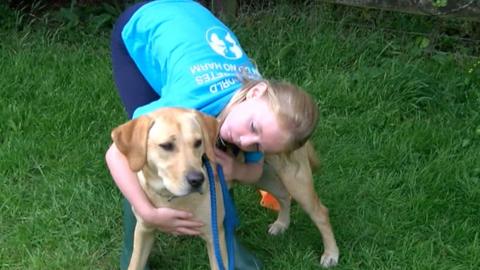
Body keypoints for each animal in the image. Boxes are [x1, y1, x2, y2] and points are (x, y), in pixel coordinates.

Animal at [110, 108, 227, 270]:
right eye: (166, 145)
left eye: (198, 142)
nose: (197, 180)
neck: (172, 198)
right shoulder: (144, 230)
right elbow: (134, 264)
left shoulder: (215, 237)